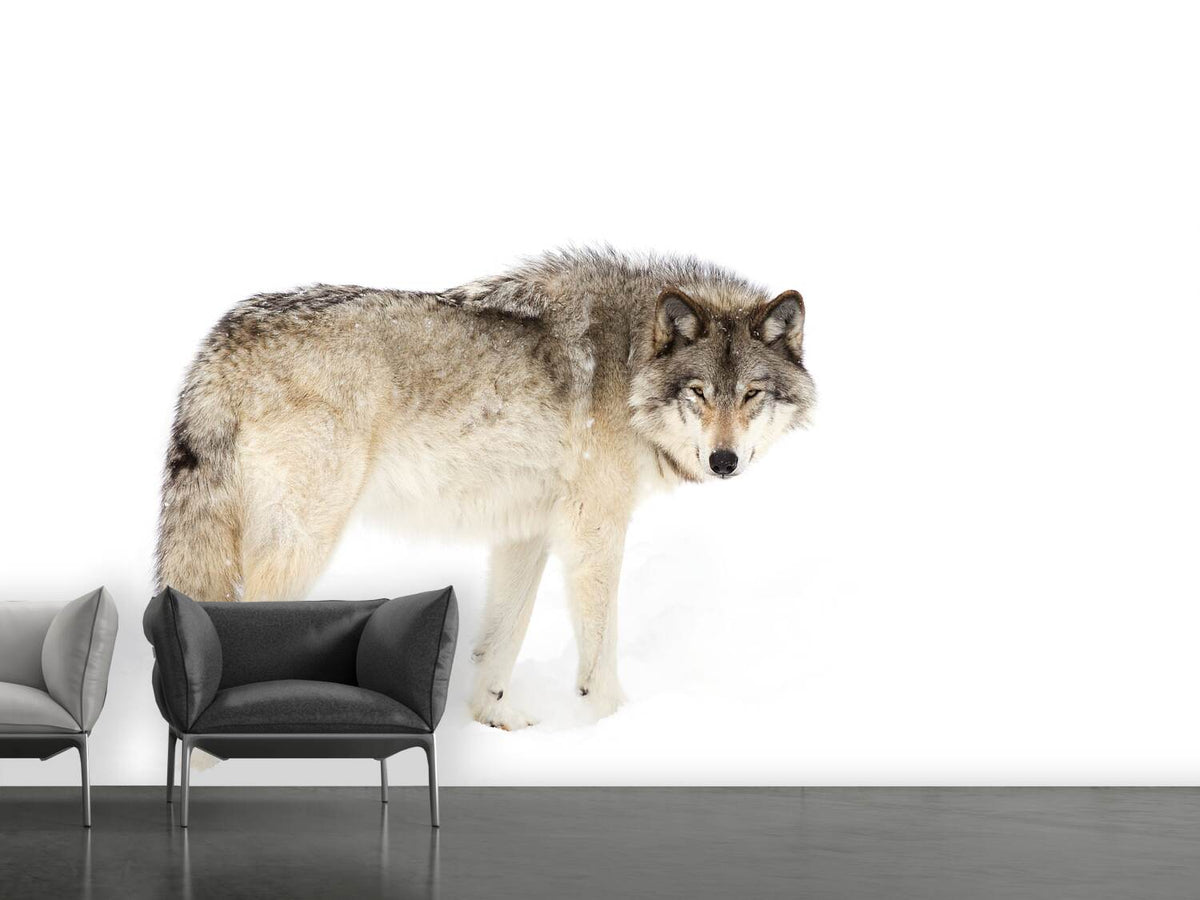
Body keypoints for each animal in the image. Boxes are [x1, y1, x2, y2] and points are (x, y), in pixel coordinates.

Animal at [155, 248, 815, 729]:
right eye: (699, 392)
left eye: (751, 394)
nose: (725, 460)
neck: (629, 363)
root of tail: (222, 341)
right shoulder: (593, 531)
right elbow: (600, 653)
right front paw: (612, 729)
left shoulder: (527, 532)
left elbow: (500, 641)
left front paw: (493, 719)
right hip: (304, 542)